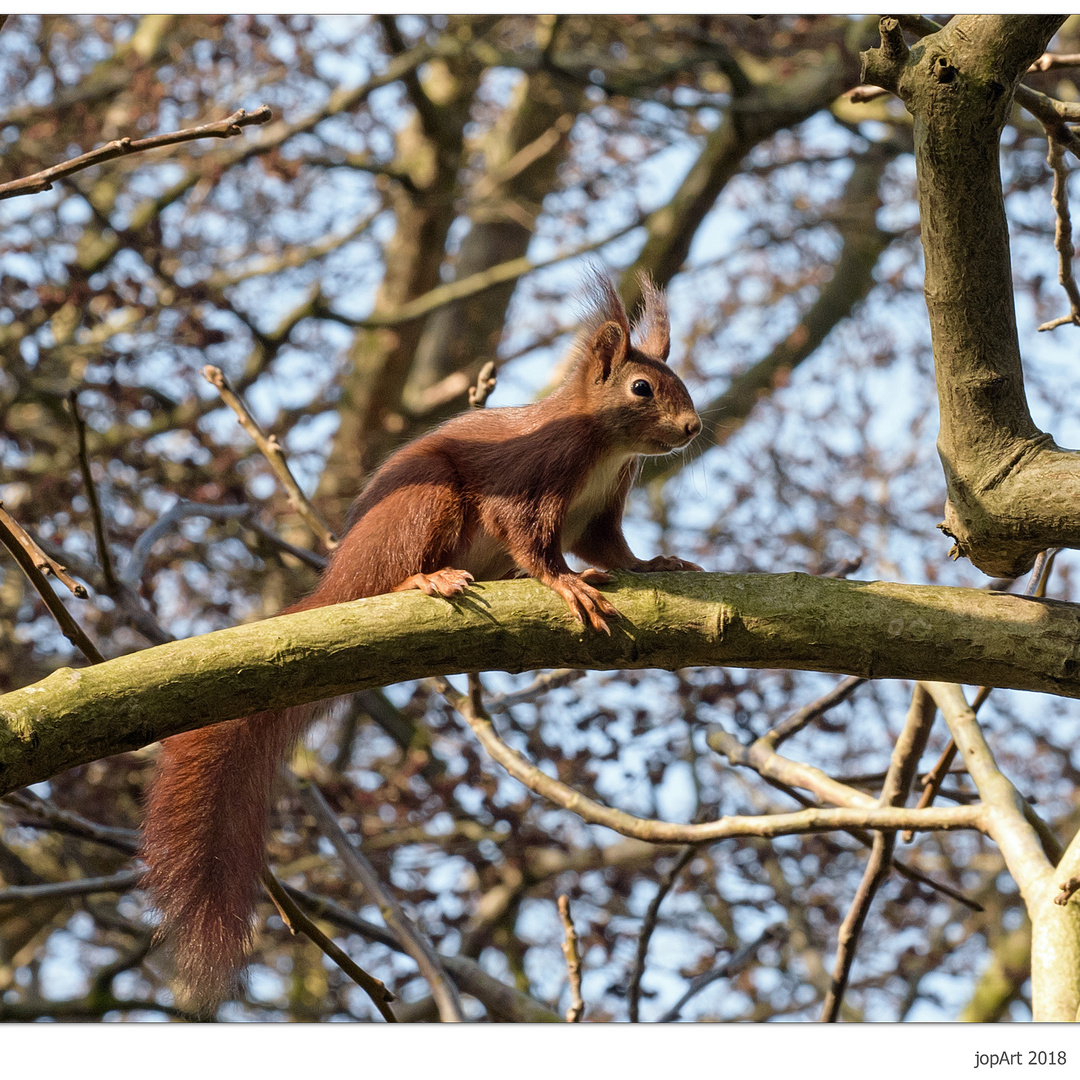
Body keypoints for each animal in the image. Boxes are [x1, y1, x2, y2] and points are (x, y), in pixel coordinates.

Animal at [139, 270, 699, 993]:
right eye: (641, 388)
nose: (692, 427)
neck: (605, 448)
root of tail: (341, 574)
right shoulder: (533, 474)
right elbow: (527, 536)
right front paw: (565, 582)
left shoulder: (603, 507)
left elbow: (614, 551)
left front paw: (656, 564)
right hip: (423, 506)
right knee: (401, 568)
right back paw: (424, 581)